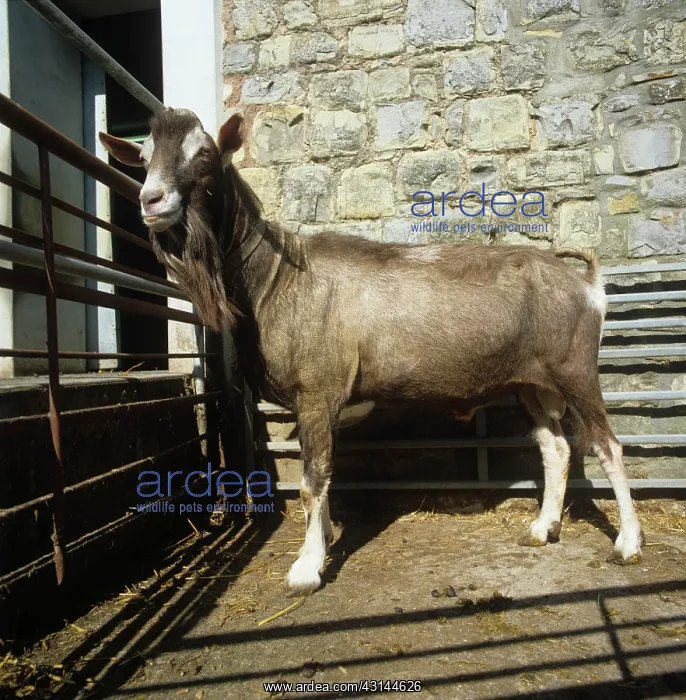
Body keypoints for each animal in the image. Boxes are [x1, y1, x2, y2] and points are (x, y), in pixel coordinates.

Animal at [100, 109, 645, 596]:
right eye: (143, 158)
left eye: (205, 153)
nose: (151, 200)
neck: (276, 278)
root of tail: (587, 284)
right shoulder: (318, 404)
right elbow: (322, 477)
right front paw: (322, 541)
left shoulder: (318, 392)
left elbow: (312, 480)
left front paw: (306, 569)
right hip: (531, 382)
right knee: (556, 449)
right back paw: (543, 529)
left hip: (575, 370)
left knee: (608, 446)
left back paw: (628, 543)